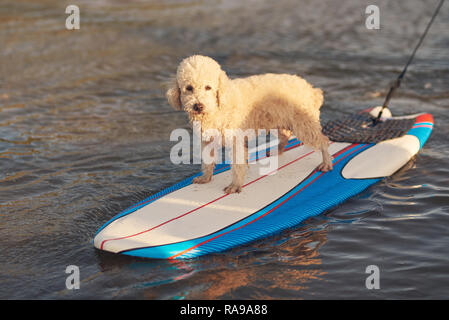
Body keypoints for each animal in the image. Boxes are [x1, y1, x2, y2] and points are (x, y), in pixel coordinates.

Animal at [166, 55, 330, 194]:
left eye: (208, 87)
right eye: (189, 88)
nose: (198, 106)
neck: (218, 106)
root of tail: (311, 89)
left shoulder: (235, 140)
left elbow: (238, 164)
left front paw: (235, 186)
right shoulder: (207, 139)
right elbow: (207, 160)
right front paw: (205, 178)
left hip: (304, 124)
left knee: (323, 141)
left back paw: (327, 163)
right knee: (285, 135)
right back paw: (277, 150)